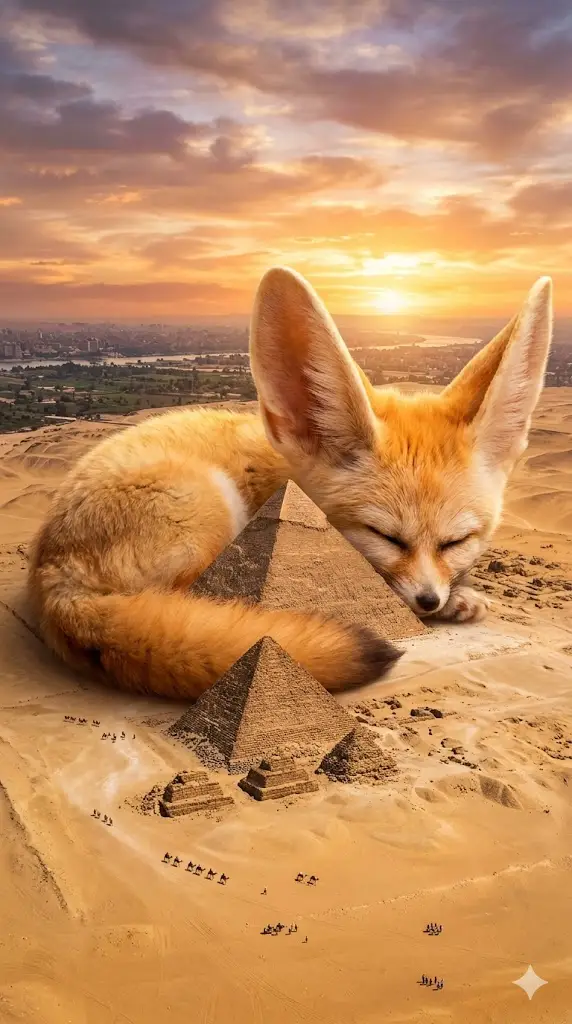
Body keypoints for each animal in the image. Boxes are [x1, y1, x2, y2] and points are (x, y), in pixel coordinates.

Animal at [28, 267, 552, 700]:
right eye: (384, 537)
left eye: (457, 541)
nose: (429, 601)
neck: (283, 471)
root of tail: (52, 574)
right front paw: (443, 604)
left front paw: (457, 593)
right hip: (213, 510)